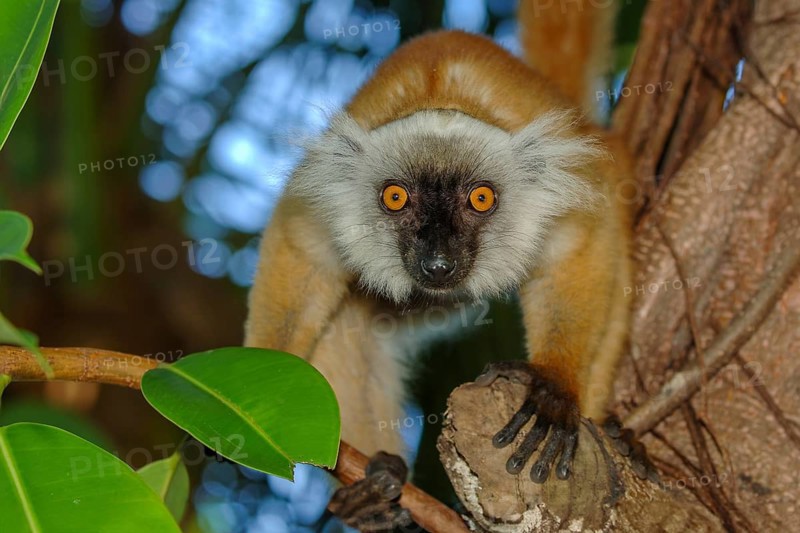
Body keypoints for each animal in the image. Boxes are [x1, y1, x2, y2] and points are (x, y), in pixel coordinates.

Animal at [245, 0, 633, 527]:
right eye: (395, 198)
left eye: (481, 199)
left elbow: (583, 243)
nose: (438, 264)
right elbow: (301, 245)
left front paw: (555, 388)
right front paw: (264, 376)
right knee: (346, 321)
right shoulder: (325, 198)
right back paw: (379, 487)